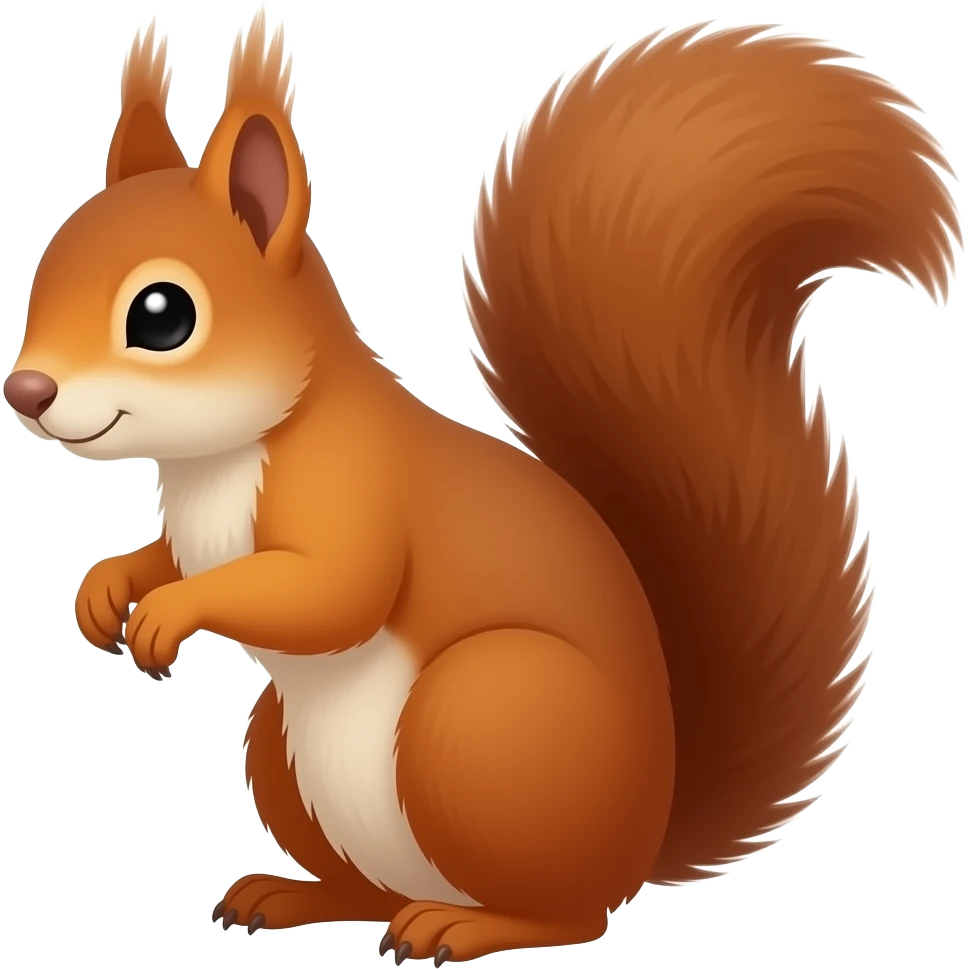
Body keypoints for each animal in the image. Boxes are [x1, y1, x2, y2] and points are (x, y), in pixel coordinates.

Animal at [3, 9, 960, 965]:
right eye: (44, 268)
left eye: (162, 314)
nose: (26, 391)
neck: (217, 460)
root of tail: (642, 837)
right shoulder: (197, 528)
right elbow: (169, 556)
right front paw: (107, 587)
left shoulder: (356, 486)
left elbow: (331, 591)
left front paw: (171, 612)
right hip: (281, 748)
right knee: (370, 888)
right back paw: (293, 895)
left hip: (479, 718)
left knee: (570, 913)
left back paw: (461, 925)